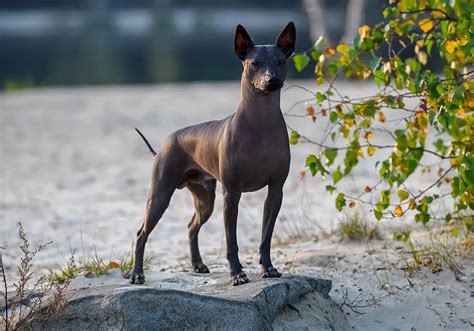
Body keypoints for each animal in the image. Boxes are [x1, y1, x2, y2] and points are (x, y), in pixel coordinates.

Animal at [132, 22, 296, 286]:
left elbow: (265, 237)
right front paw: (237, 273)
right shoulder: (232, 194)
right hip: (160, 195)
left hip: (205, 199)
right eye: (255, 63)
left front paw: (268, 268)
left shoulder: (275, 191)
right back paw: (137, 274)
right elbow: (232, 242)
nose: (272, 80)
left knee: (191, 227)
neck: (261, 124)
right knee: (141, 234)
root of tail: (168, 140)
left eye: (281, 61)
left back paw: (198, 264)